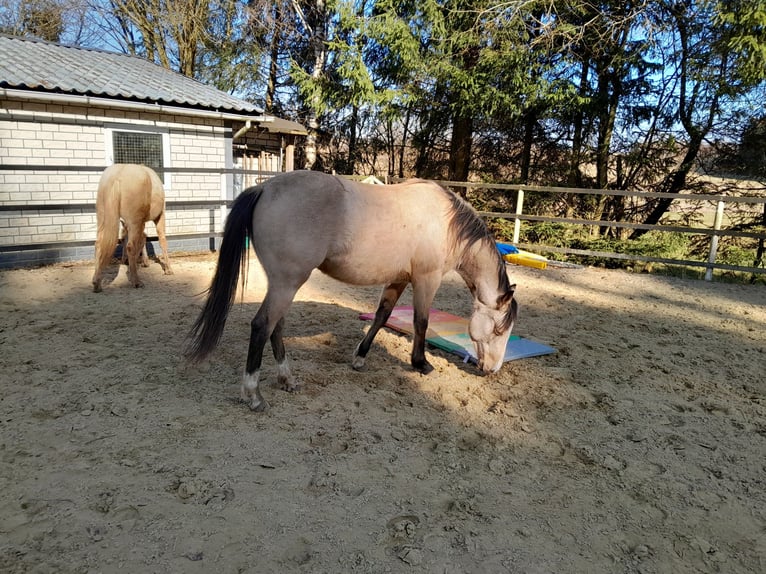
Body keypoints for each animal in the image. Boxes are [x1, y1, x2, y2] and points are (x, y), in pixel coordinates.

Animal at [92, 164, 173, 292]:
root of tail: (118, 174)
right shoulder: (159, 217)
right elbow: (162, 241)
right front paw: (168, 269)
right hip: (135, 221)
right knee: (131, 246)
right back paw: (136, 281)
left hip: (102, 217)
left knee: (99, 244)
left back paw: (97, 283)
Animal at [186, 170, 518, 411]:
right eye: (499, 330)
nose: (493, 369)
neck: (447, 223)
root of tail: (265, 189)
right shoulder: (427, 279)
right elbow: (421, 322)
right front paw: (421, 363)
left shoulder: (398, 280)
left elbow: (382, 317)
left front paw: (359, 357)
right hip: (287, 283)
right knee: (262, 326)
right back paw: (254, 395)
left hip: (282, 284)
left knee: (275, 327)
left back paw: (287, 379)